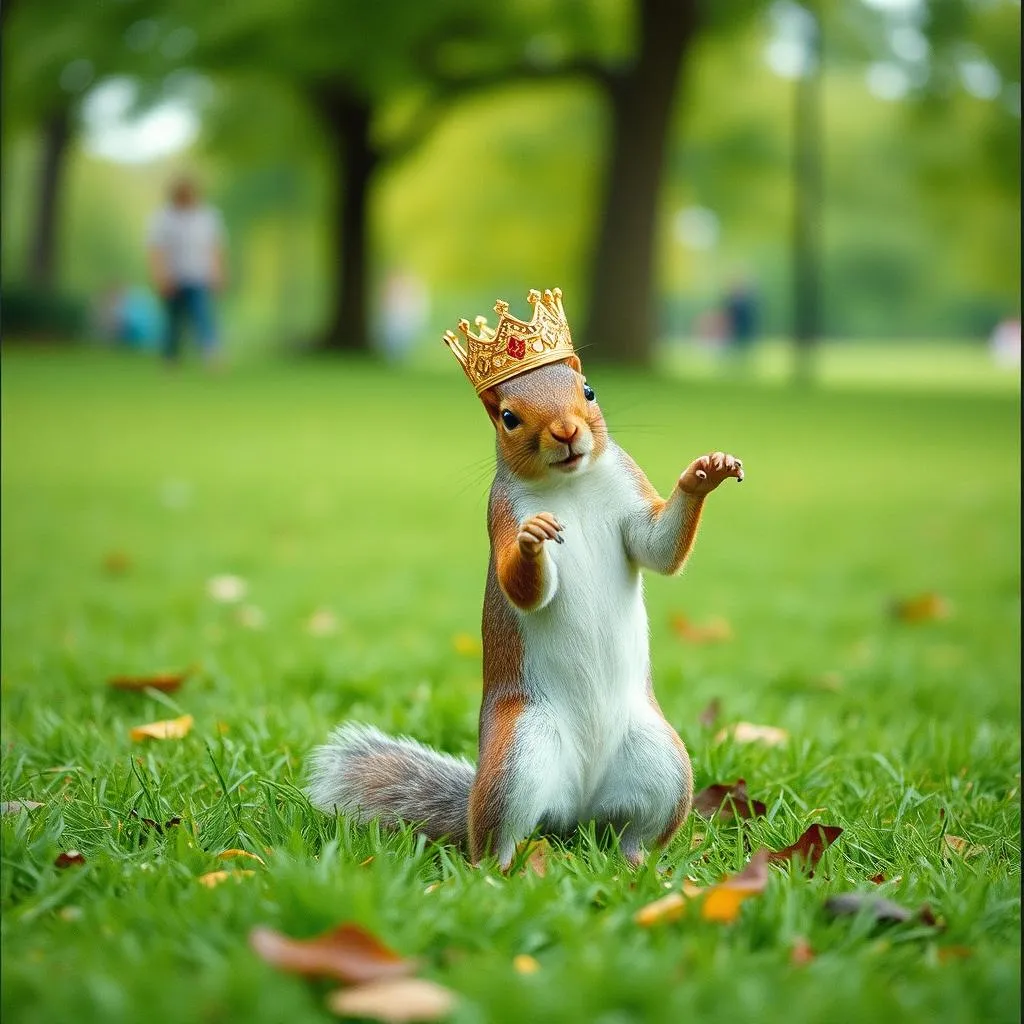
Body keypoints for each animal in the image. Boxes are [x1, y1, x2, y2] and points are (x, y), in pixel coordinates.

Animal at [308, 299, 743, 870]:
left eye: (589, 390)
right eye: (509, 418)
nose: (565, 431)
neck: (570, 486)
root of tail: (577, 806)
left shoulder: (629, 491)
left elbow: (658, 548)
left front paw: (704, 474)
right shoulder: (501, 516)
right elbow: (524, 590)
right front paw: (535, 538)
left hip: (662, 765)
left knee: (633, 832)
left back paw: (639, 867)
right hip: (517, 759)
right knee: (497, 842)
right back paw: (508, 870)